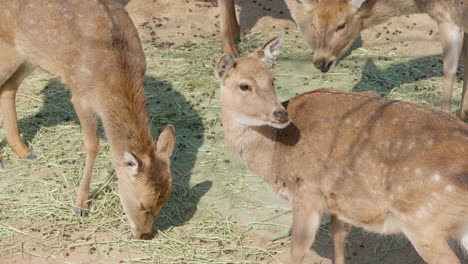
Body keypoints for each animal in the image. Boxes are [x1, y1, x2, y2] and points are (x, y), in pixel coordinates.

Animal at [0, 0, 176, 239]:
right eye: (142, 204)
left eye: (163, 202)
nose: (144, 234)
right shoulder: (80, 95)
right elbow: (93, 145)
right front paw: (80, 205)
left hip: (29, 56)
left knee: (8, 88)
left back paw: (24, 151)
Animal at [216, 35, 468, 264]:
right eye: (244, 85)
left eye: (272, 80)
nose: (280, 114)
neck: (275, 154)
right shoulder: (336, 200)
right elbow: (338, 234)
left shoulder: (306, 192)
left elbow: (298, 250)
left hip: (423, 220)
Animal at [300, 0, 468, 120]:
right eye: (314, 23)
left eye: (341, 25)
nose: (320, 61)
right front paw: (462, 114)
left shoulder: (449, 17)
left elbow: (449, 68)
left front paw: (449, 115)